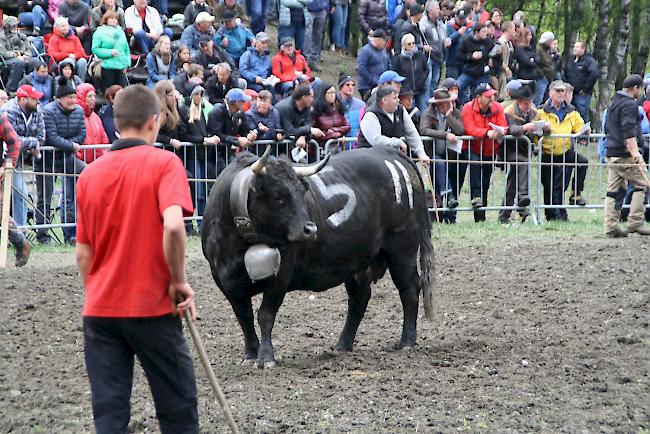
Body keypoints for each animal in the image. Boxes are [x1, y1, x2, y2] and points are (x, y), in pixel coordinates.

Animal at [202, 147, 436, 366]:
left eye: (302, 191)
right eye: (277, 196)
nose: (310, 229)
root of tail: (388, 152)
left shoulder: (281, 274)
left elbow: (265, 315)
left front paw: (266, 357)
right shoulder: (224, 280)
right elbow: (244, 318)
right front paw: (250, 354)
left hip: (402, 250)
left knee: (409, 289)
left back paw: (407, 341)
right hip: (358, 260)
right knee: (360, 297)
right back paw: (343, 345)